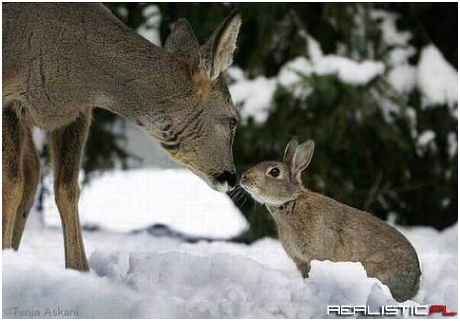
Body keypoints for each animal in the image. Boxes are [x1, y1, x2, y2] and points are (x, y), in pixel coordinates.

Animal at [1, 3, 243, 270]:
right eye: (233, 120)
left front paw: (79, 270)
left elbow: (67, 189)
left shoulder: (78, 113)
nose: (232, 177)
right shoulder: (9, 99)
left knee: (32, 171)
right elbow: (11, 184)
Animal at [239, 139, 422, 302]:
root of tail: (415, 284)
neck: (291, 202)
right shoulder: (301, 261)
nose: (243, 177)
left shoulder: (315, 256)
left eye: (274, 172)